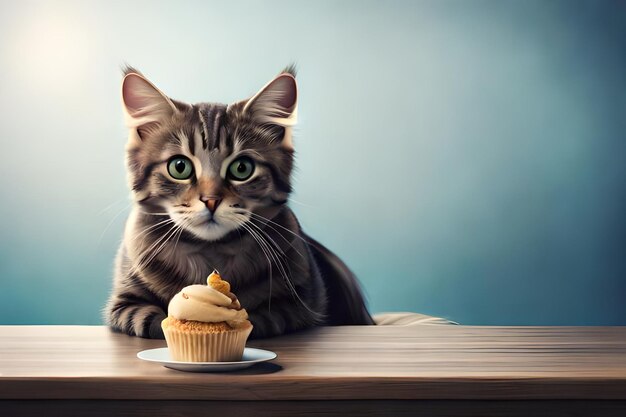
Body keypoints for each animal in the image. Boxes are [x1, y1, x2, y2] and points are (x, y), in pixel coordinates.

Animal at [105, 66, 372, 338]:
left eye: (242, 168)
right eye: (179, 167)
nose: (211, 200)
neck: (210, 252)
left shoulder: (302, 304)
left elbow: (267, 318)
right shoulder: (124, 305)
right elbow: (150, 319)